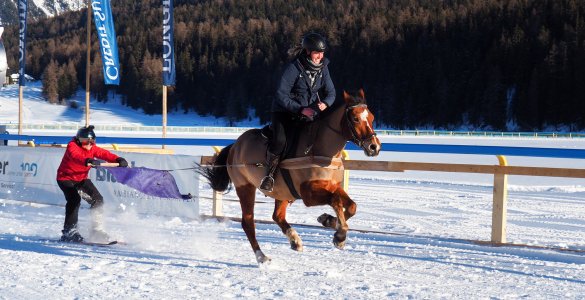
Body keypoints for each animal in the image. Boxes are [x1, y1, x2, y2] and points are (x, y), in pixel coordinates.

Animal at [201, 90, 380, 264]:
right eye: (355, 118)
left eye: (372, 117)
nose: (374, 146)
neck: (318, 149)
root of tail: (234, 146)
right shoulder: (308, 195)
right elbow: (335, 200)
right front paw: (340, 235)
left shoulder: (331, 185)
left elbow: (351, 205)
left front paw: (329, 221)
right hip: (245, 187)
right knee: (248, 222)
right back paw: (262, 257)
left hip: (282, 192)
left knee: (277, 216)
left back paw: (295, 240)